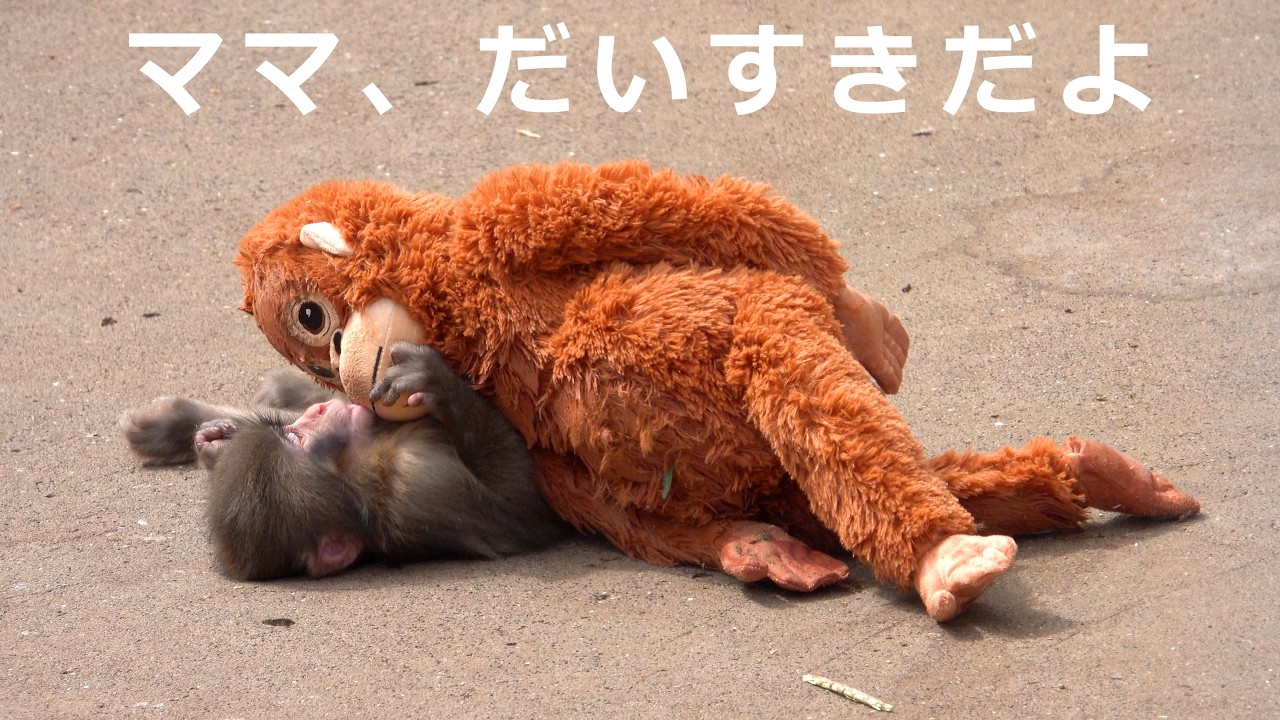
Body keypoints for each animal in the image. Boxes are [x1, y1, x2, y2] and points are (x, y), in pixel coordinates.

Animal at [119, 343, 567, 581]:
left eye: (296, 434)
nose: (314, 414)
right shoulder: (418, 483)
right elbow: (522, 504)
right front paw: (437, 380)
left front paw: (207, 438)